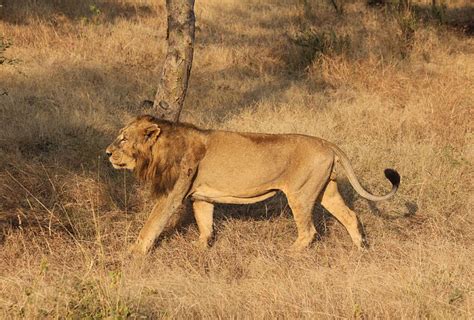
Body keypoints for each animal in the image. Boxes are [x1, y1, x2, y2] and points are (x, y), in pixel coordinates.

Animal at [105, 114, 398, 254]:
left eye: (123, 139)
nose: (107, 153)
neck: (159, 150)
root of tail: (327, 143)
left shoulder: (171, 195)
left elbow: (151, 225)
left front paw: (135, 252)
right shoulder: (201, 197)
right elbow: (205, 225)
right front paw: (200, 249)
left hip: (300, 194)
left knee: (309, 231)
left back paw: (290, 253)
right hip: (327, 190)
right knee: (350, 216)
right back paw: (361, 249)